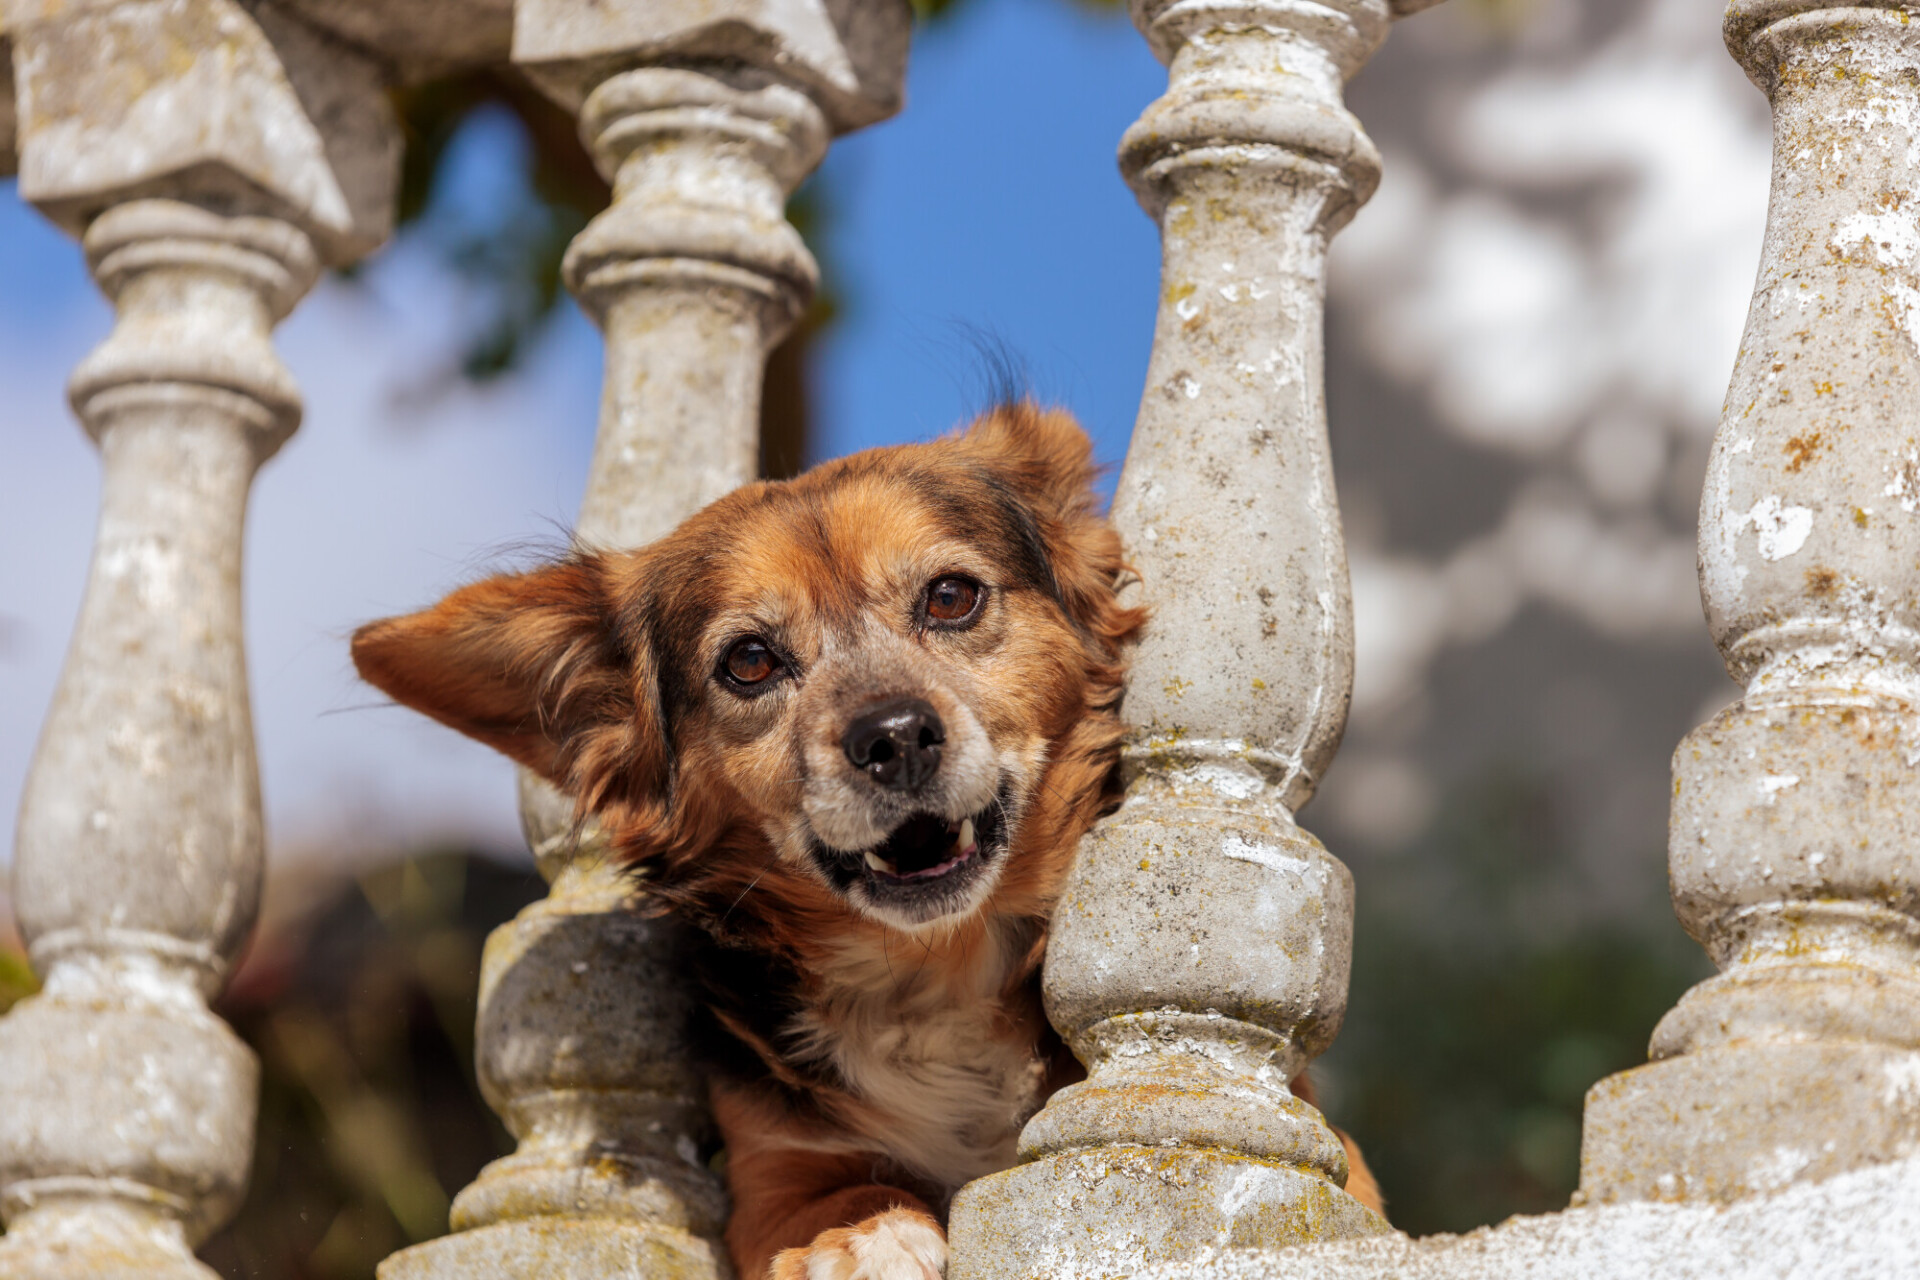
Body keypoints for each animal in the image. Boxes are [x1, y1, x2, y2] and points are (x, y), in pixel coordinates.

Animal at [353, 402, 1382, 1280]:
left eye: (953, 597)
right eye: (750, 661)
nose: (893, 737)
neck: (932, 970)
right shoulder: (772, 1159)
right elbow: (824, 1192)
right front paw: (855, 1235)